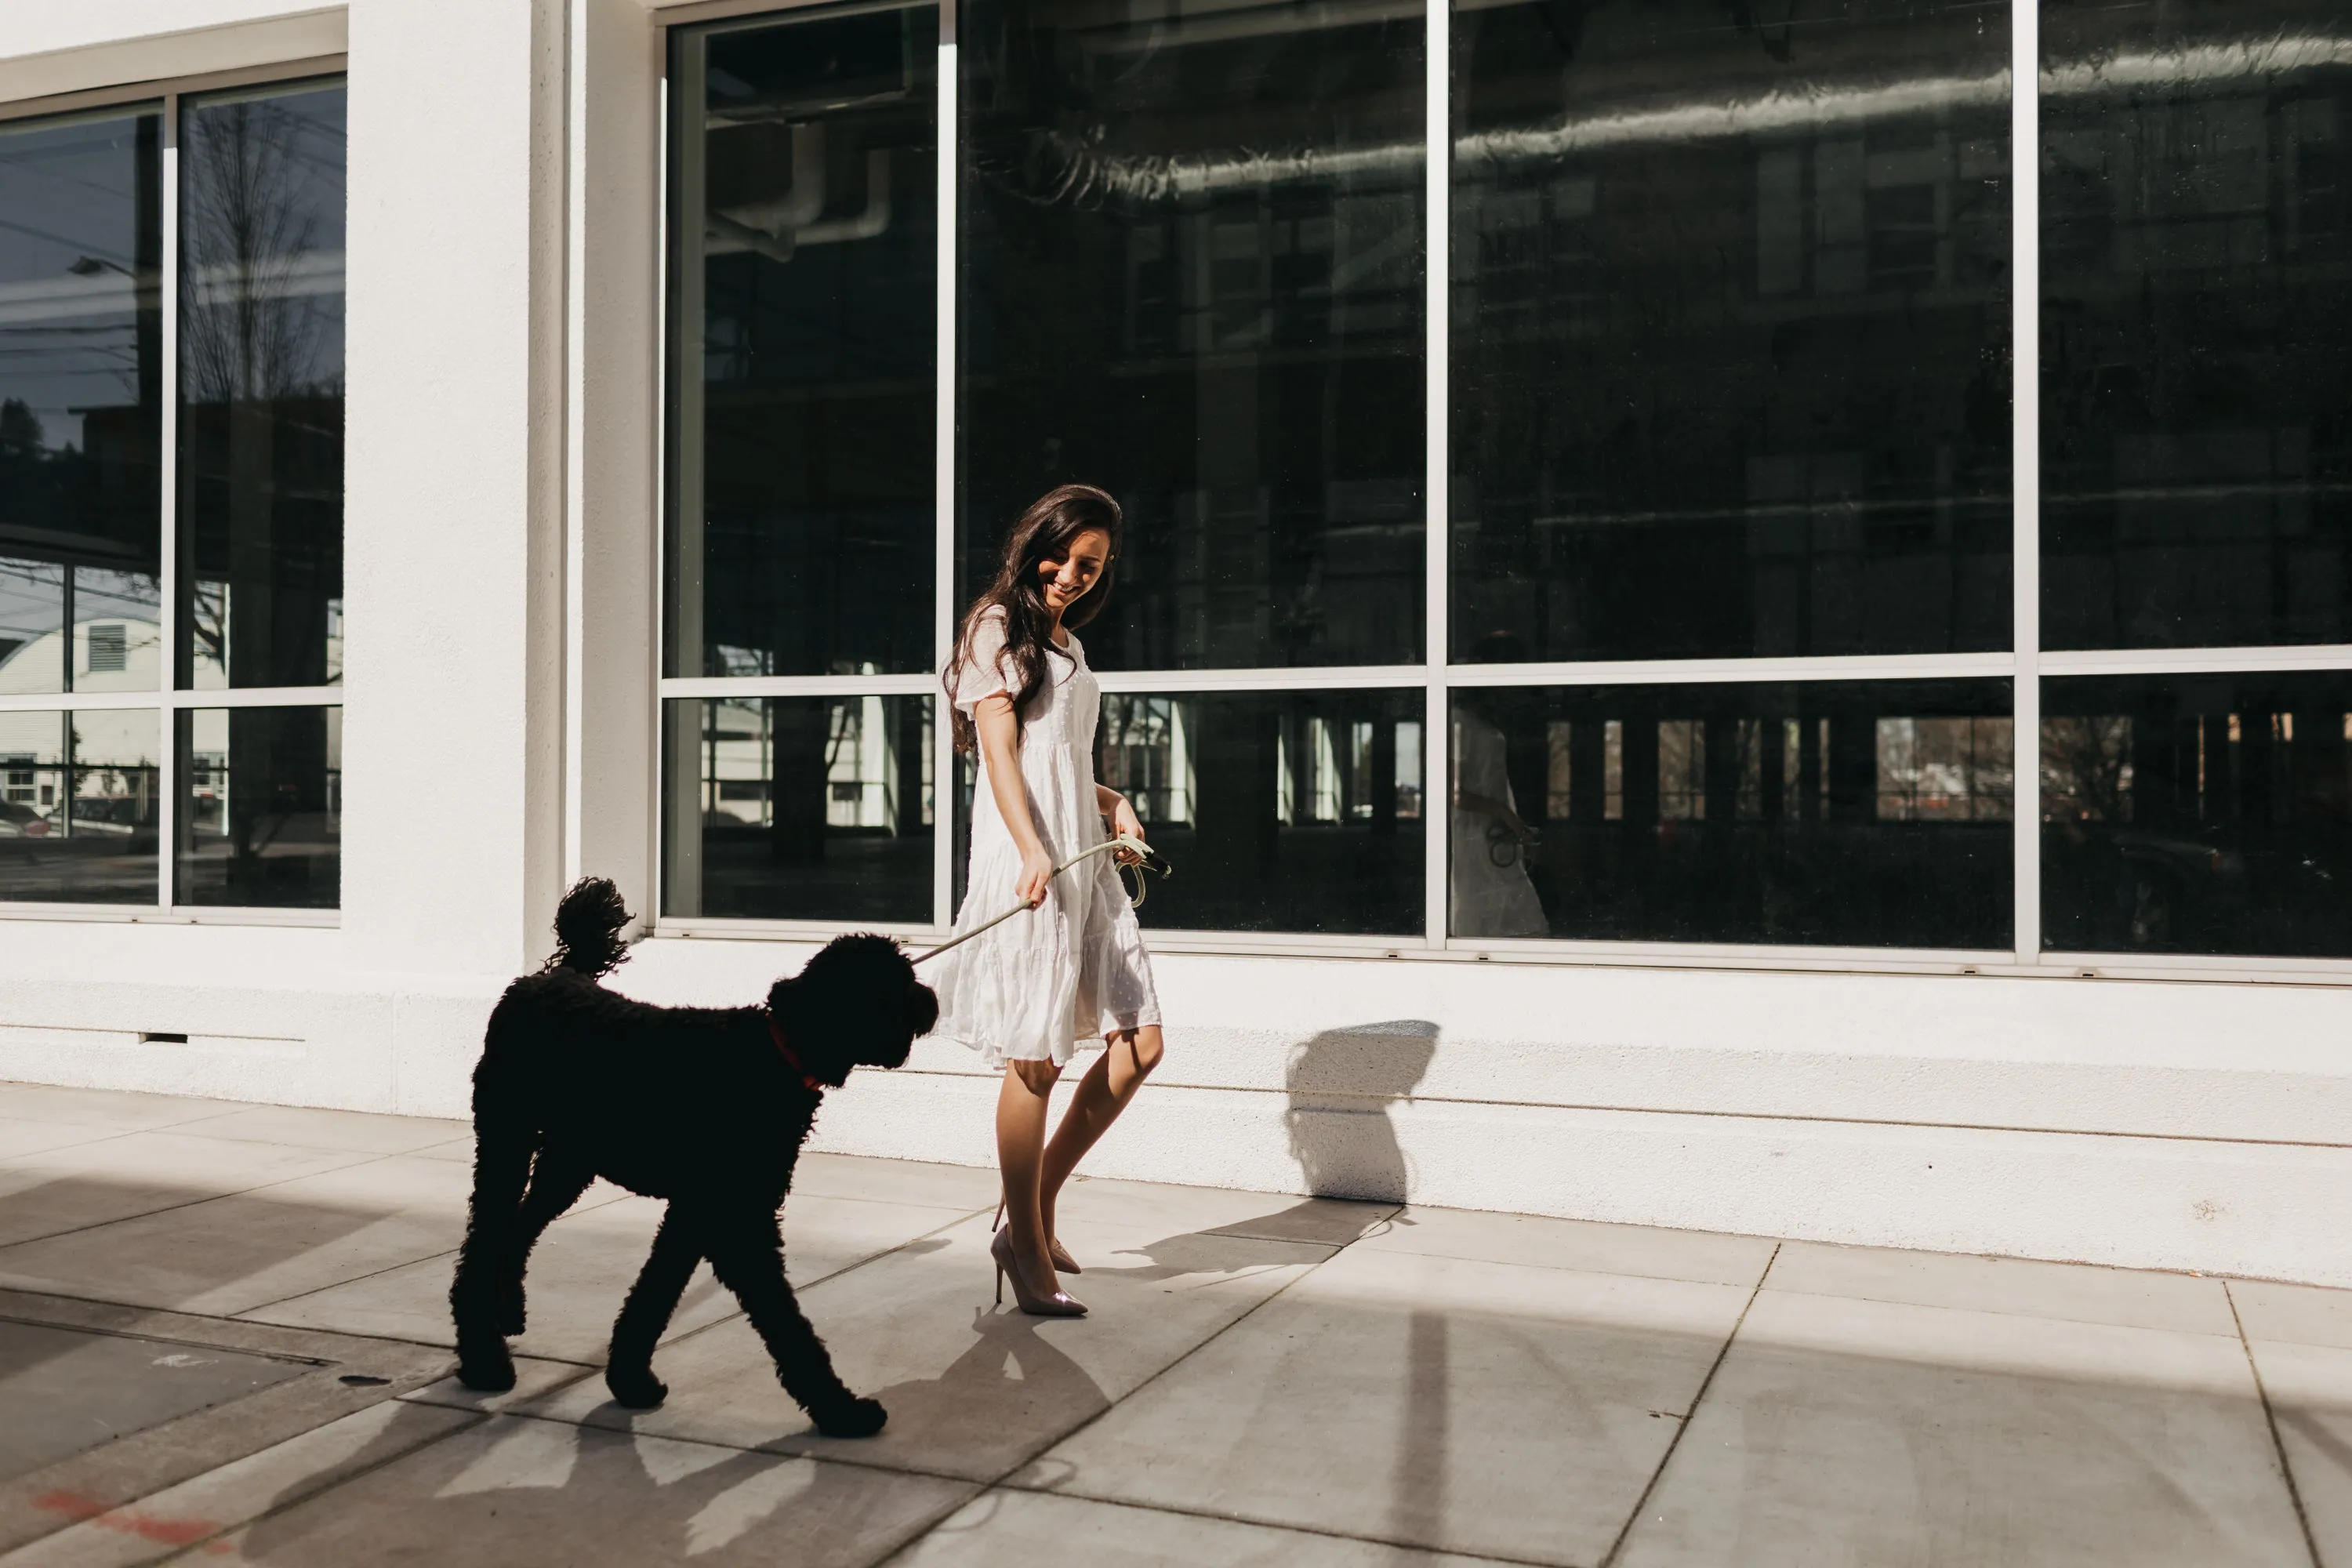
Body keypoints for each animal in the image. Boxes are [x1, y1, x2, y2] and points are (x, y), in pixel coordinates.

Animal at [449, 879, 936, 1439]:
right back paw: (483, 1360)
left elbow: (655, 1293)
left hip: (567, 1161)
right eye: (896, 984)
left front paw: (630, 1379)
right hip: (506, 1140)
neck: (776, 1054)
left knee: (519, 1226)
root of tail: (550, 977)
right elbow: (783, 1318)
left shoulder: (696, 1212)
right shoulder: (734, 1219)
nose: (933, 1001)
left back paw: (506, 1312)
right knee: (484, 1239)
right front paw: (840, 1409)